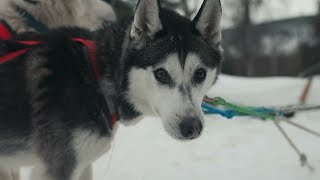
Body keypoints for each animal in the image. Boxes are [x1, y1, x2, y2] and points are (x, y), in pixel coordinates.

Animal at [0, 0, 222, 179]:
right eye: (161, 74)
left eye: (200, 74)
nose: (191, 127)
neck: (94, 76)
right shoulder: (60, 168)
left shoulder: (83, 164)